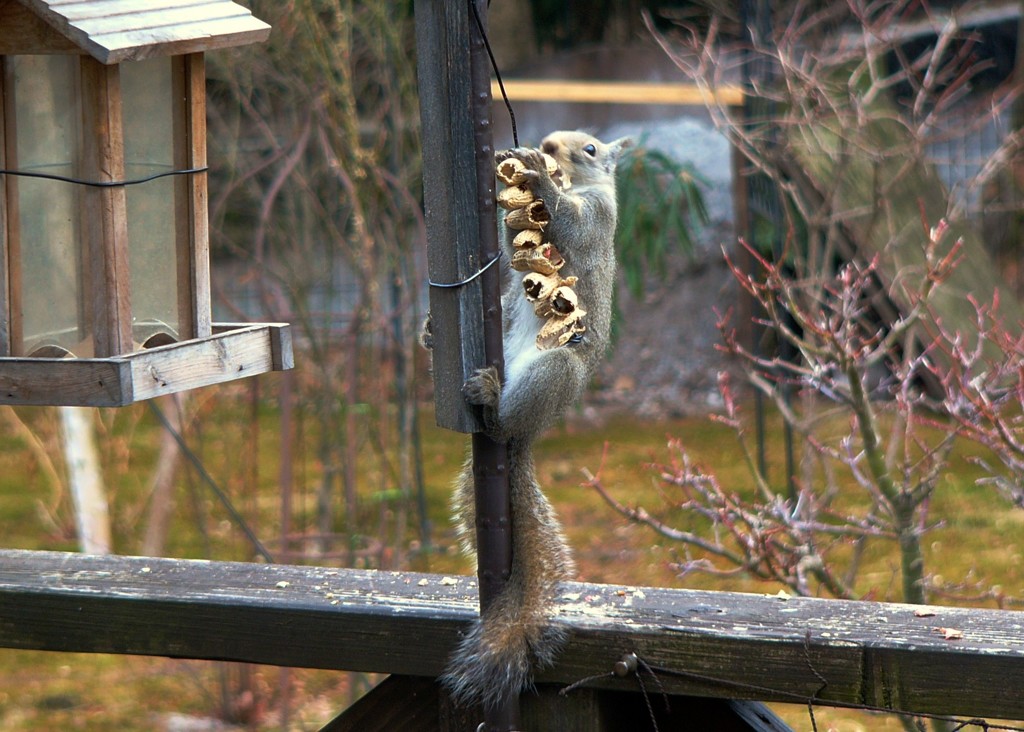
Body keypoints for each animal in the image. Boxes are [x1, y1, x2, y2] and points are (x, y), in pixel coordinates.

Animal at [438, 132, 630, 708]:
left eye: (590, 149)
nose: (546, 144)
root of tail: (532, 429)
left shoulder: (598, 218)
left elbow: (570, 223)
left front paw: (538, 176)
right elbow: (510, 244)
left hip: (555, 372)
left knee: (502, 423)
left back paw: (492, 403)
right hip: (501, 327)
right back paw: (432, 335)